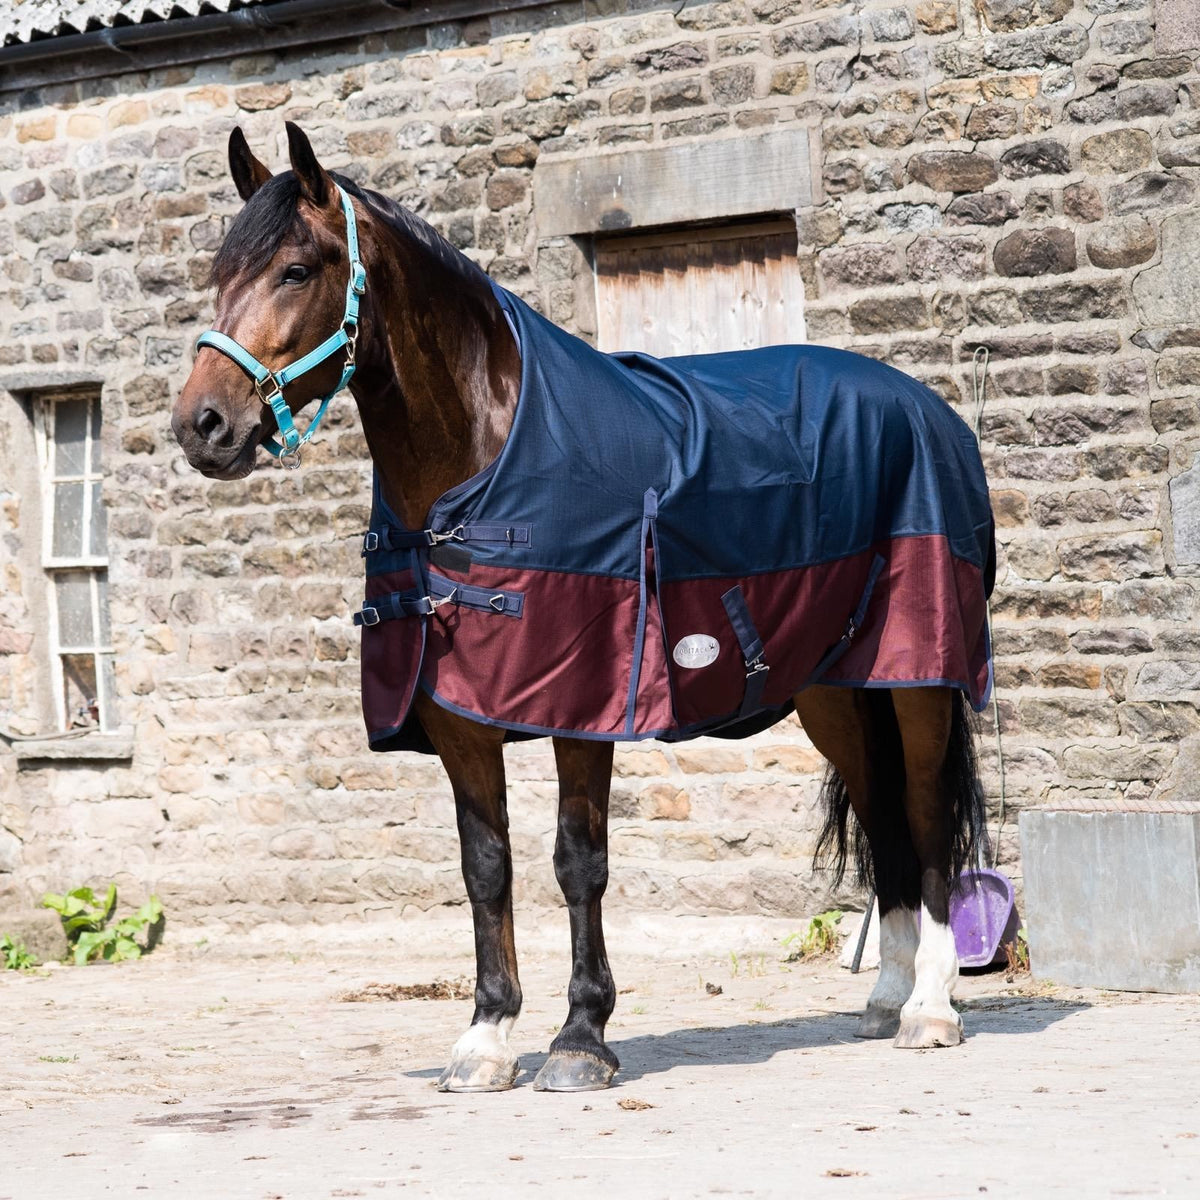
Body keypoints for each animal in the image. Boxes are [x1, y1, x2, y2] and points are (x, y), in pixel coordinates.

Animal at [172, 122, 994, 1093]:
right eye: (221, 271)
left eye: (298, 269)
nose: (202, 426)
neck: (489, 456)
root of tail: (928, 410)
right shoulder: (459, 719)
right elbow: (486, 866)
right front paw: (486, 1038)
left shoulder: (583, 705)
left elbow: (578, 861)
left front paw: (579, 1039)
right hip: (836, 691)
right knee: (884, 817)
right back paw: (887, 997)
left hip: (921, 679)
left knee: (927, 817)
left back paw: (930, 1008)